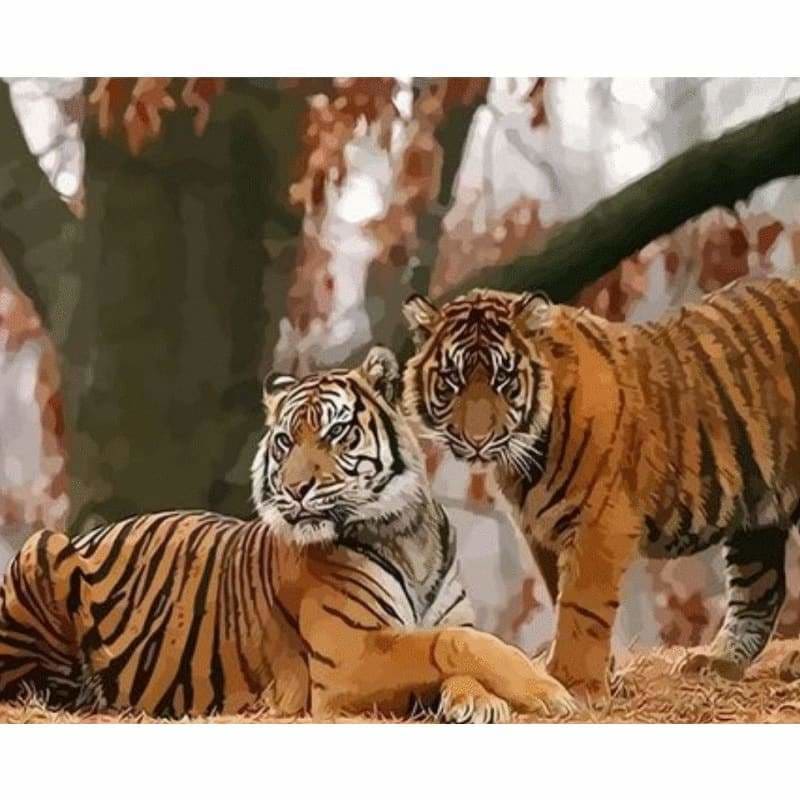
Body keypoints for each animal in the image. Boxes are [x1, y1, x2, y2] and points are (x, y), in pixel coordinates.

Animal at [0, 346, 573, 722]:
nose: (297, 489)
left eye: (337, 432)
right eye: (284, 442)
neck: (406, 535)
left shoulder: (441, 621)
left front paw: (478, 700)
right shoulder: (347, 659)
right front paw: (545, 691)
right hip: (41, 547)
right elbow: (450, 643)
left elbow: (456, 641)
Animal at [402, 277, 800, 703]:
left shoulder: (600, 524)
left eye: (504, 380)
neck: (527, 459)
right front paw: (598, 676)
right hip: (756, 513)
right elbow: (563, 598)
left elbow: (582, 605)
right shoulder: (543, 531)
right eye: (452, 380)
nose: (477, 440)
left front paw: (572, 683)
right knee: (761, 591)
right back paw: (716, 662)